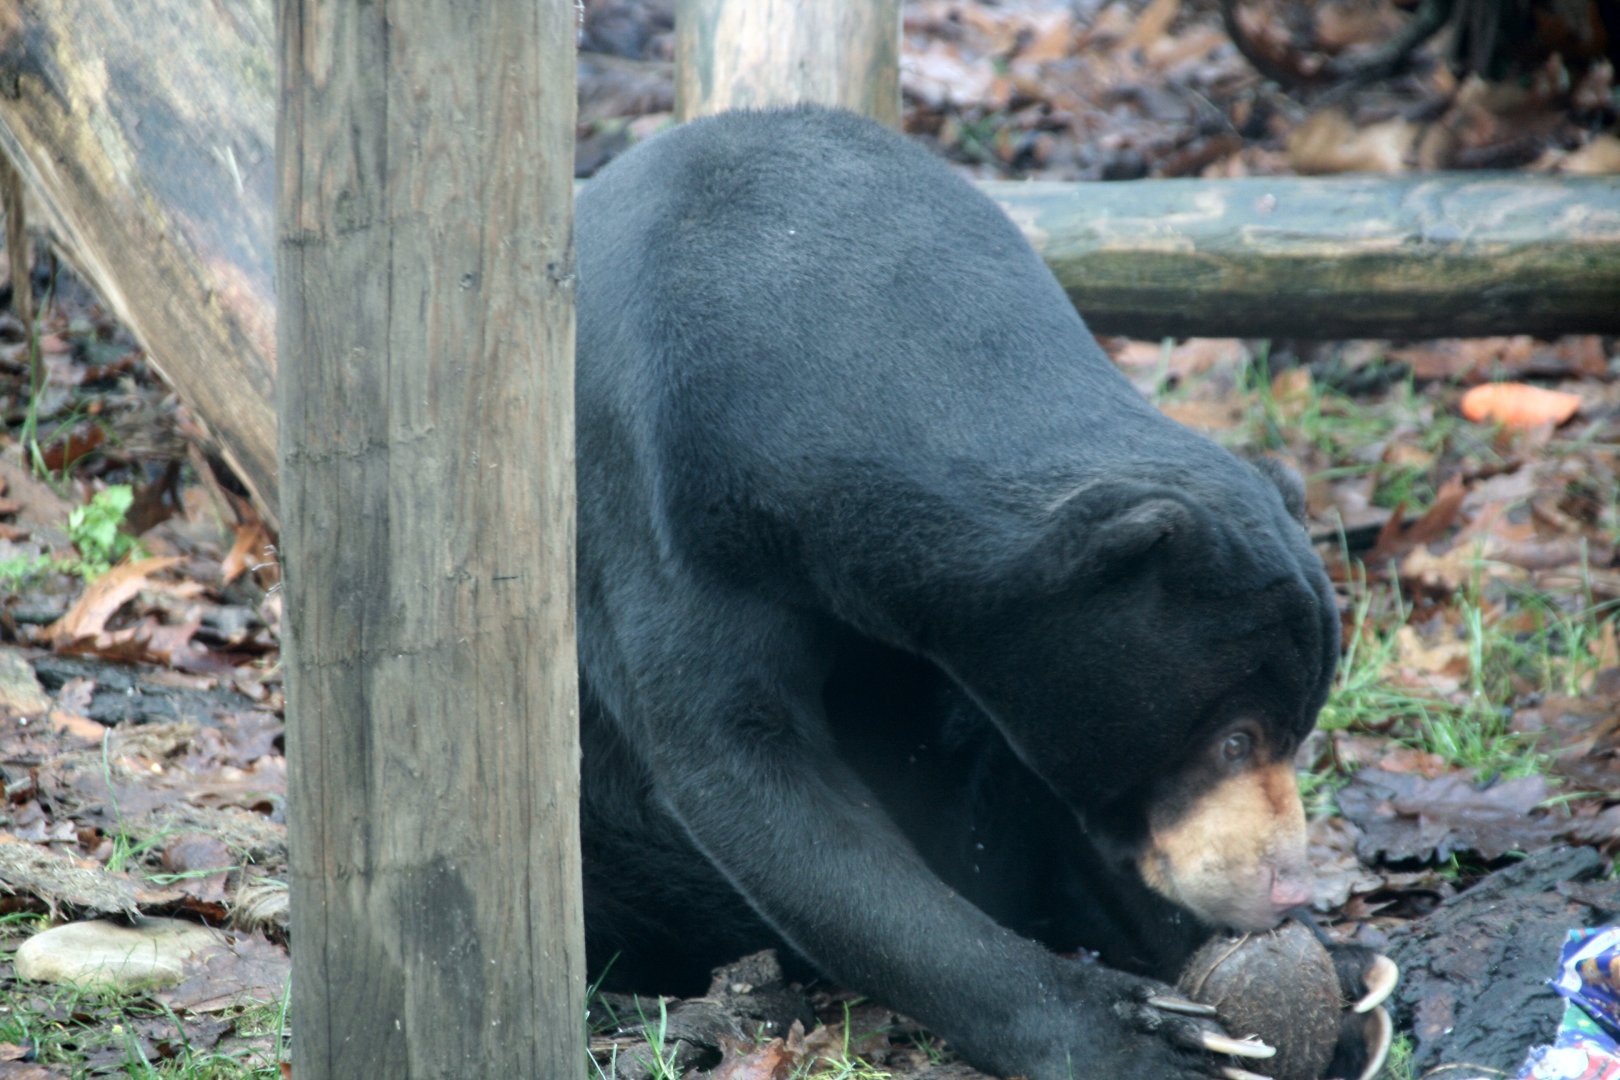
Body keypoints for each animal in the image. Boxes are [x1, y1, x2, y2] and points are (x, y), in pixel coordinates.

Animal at [574, 105, 1390, 1080]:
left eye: (1298, 734)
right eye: (1235, 739)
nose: (1287, 886)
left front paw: (1336, 985)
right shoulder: (657, 506)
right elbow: (747, 773)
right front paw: (1143, 1034)